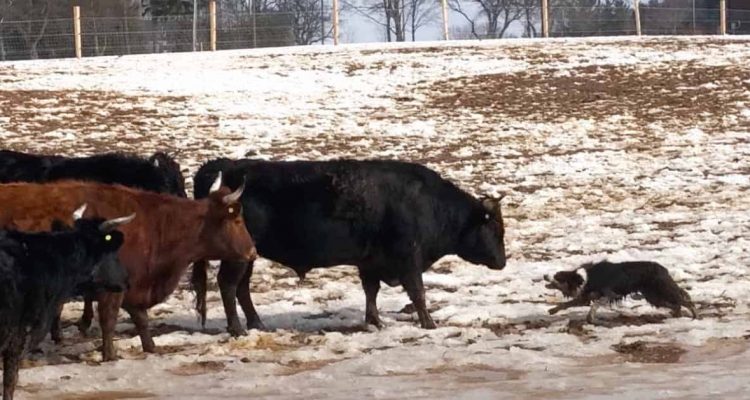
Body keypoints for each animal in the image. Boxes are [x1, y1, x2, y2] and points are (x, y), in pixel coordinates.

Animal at [0, 177, 258, 360]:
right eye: (237, 220)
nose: (253, 252)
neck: (155, 224)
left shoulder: (133, 285)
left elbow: (141, 318)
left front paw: (150, 347)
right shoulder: (111, 290)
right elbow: (109, 320)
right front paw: (110, 355)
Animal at [192, 159, 512, 334]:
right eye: (496, 228)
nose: (502, 261)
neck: (429, 204)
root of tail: (228, 167)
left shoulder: (370, 262)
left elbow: (371, 291)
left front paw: (375, 321)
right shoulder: (408, 258)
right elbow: (418, 292)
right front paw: (429, 324)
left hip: (249, 256)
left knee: (242, 288)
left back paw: (256, 323)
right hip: (238, 257)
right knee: (228, 285)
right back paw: (237, 328)